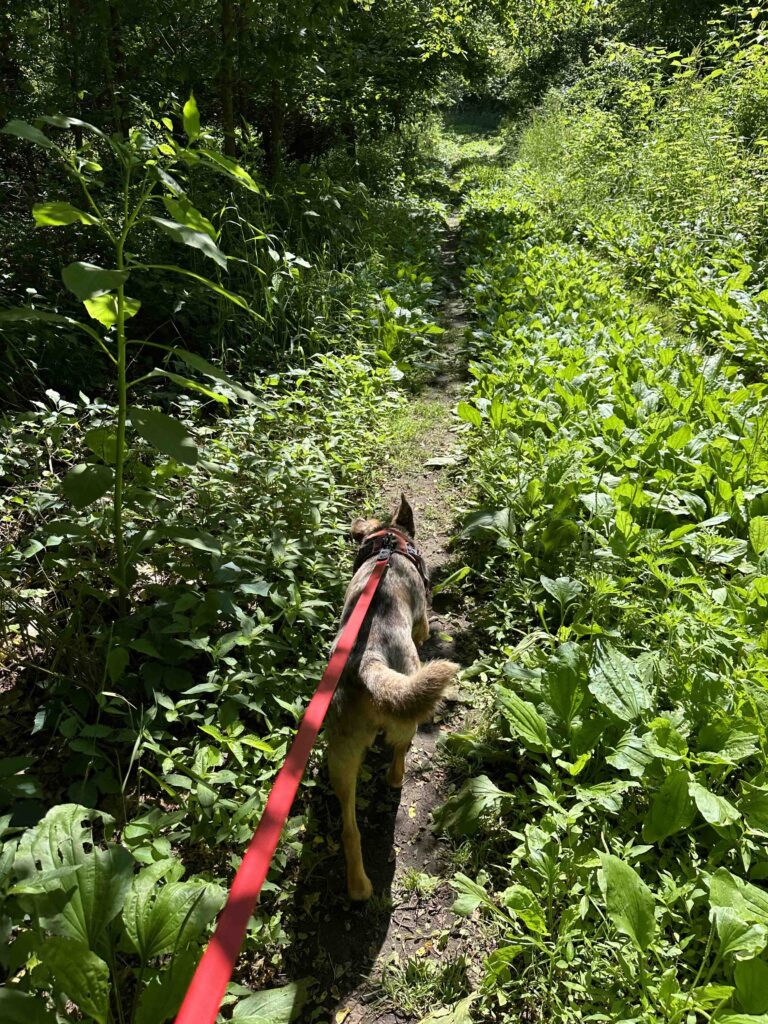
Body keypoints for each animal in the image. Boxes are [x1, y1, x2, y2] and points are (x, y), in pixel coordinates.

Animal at [325, 497, 456, 905]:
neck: (388, 545)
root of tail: (367, 661)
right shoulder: (422, 625)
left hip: (341, 756)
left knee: (350, 829)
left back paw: (358, 886)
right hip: (405, 716)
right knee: (400, 752)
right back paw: (396, 777)